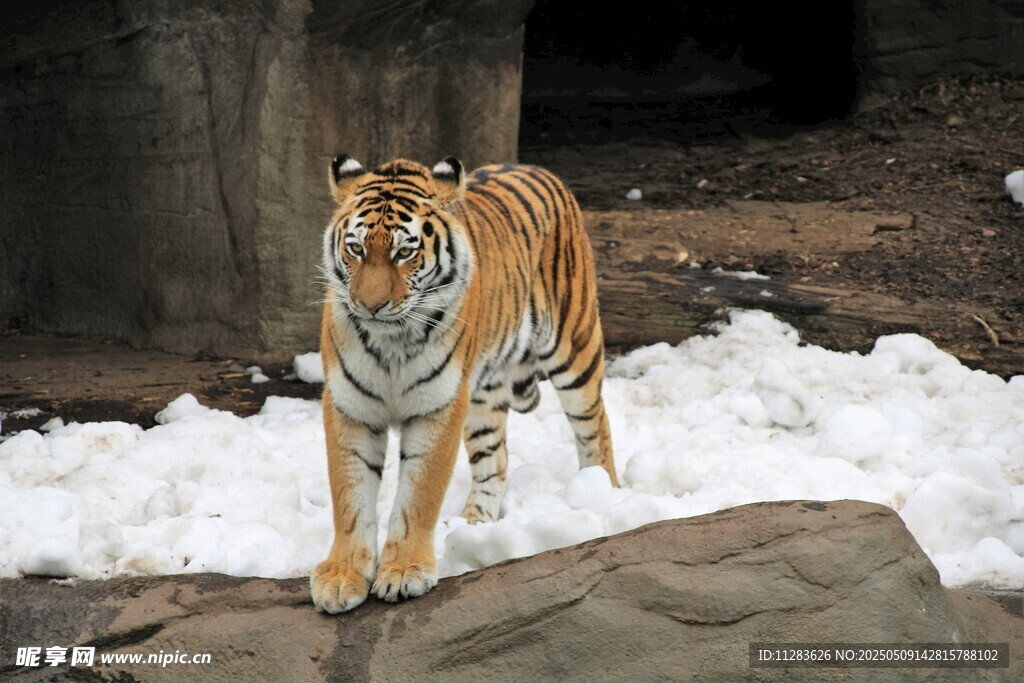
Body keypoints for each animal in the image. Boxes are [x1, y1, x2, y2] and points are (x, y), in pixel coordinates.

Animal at [309, 154, 618, 614]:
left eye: (404, 252)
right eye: (356, 249)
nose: (369, 306)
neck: (391, 340)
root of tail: (537, 168)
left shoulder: (438, 406)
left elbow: (418, 495)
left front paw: (404, 572)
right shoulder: (350, 405)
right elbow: (351, 496)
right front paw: (341, 577)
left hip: (574, 346)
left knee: (595, 426)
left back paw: (604, 495)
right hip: (483, 398)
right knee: (496, 459)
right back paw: (475, 526)